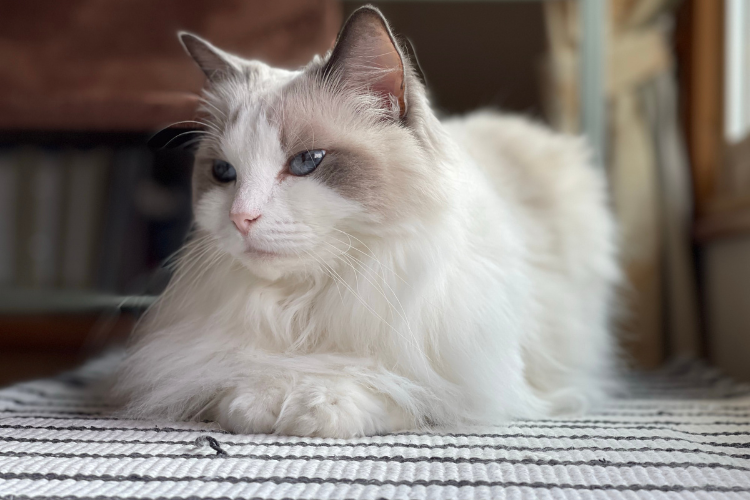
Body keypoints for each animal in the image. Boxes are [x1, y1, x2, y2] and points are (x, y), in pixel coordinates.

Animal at [116, 4, 624, 438]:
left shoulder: (460, 379)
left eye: (307, 162)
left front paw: (311, 405)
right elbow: (234, 382)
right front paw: (263, 399)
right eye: (224, 173)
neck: (306, 302)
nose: (241, 218)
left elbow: (387, 383)